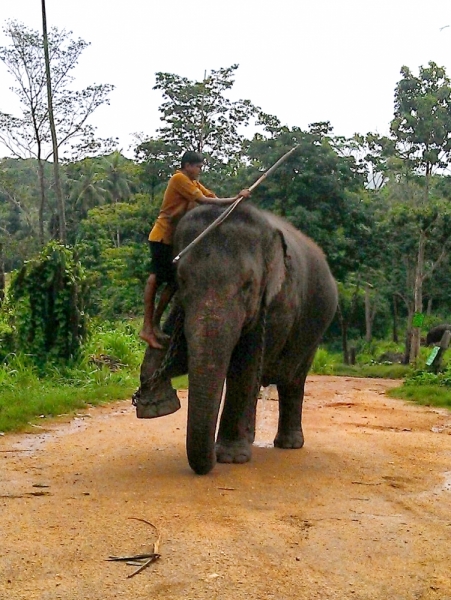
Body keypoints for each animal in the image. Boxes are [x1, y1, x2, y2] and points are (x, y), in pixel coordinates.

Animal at [134, 204, 340, 476]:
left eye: (248, 285)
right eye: (182, 281)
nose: (209, 461)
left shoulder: (272, 309)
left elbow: (243, 368)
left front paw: (230, 458)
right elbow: (177, 352)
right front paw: (157, 408)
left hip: (313, 334)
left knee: (292, 380)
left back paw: (288, 444)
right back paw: (251, 438)